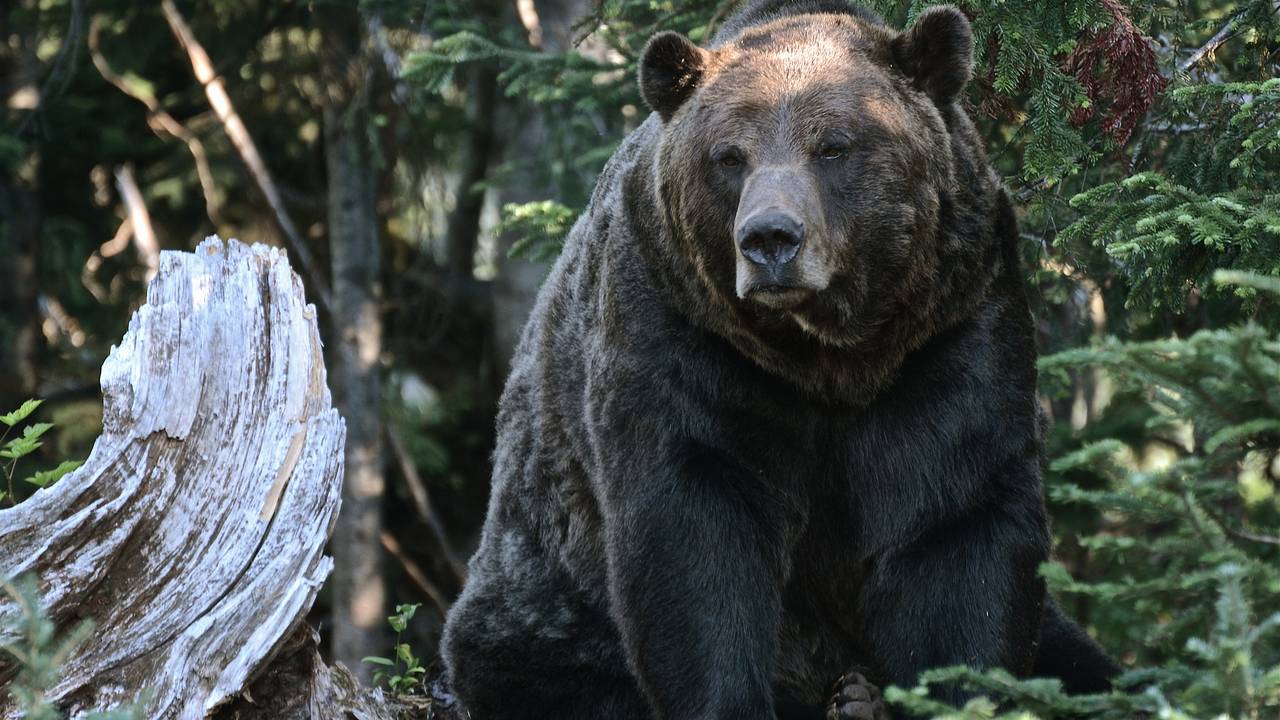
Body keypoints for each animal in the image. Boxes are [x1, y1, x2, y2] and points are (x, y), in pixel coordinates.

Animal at [441, 1, 1119, 718]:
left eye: (834, 146)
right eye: (729, 156)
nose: (769, 238)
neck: (830, 357)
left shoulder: (951, 334)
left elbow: (959, 528)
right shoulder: (685, 338)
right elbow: (693, 539)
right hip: (548, 595)